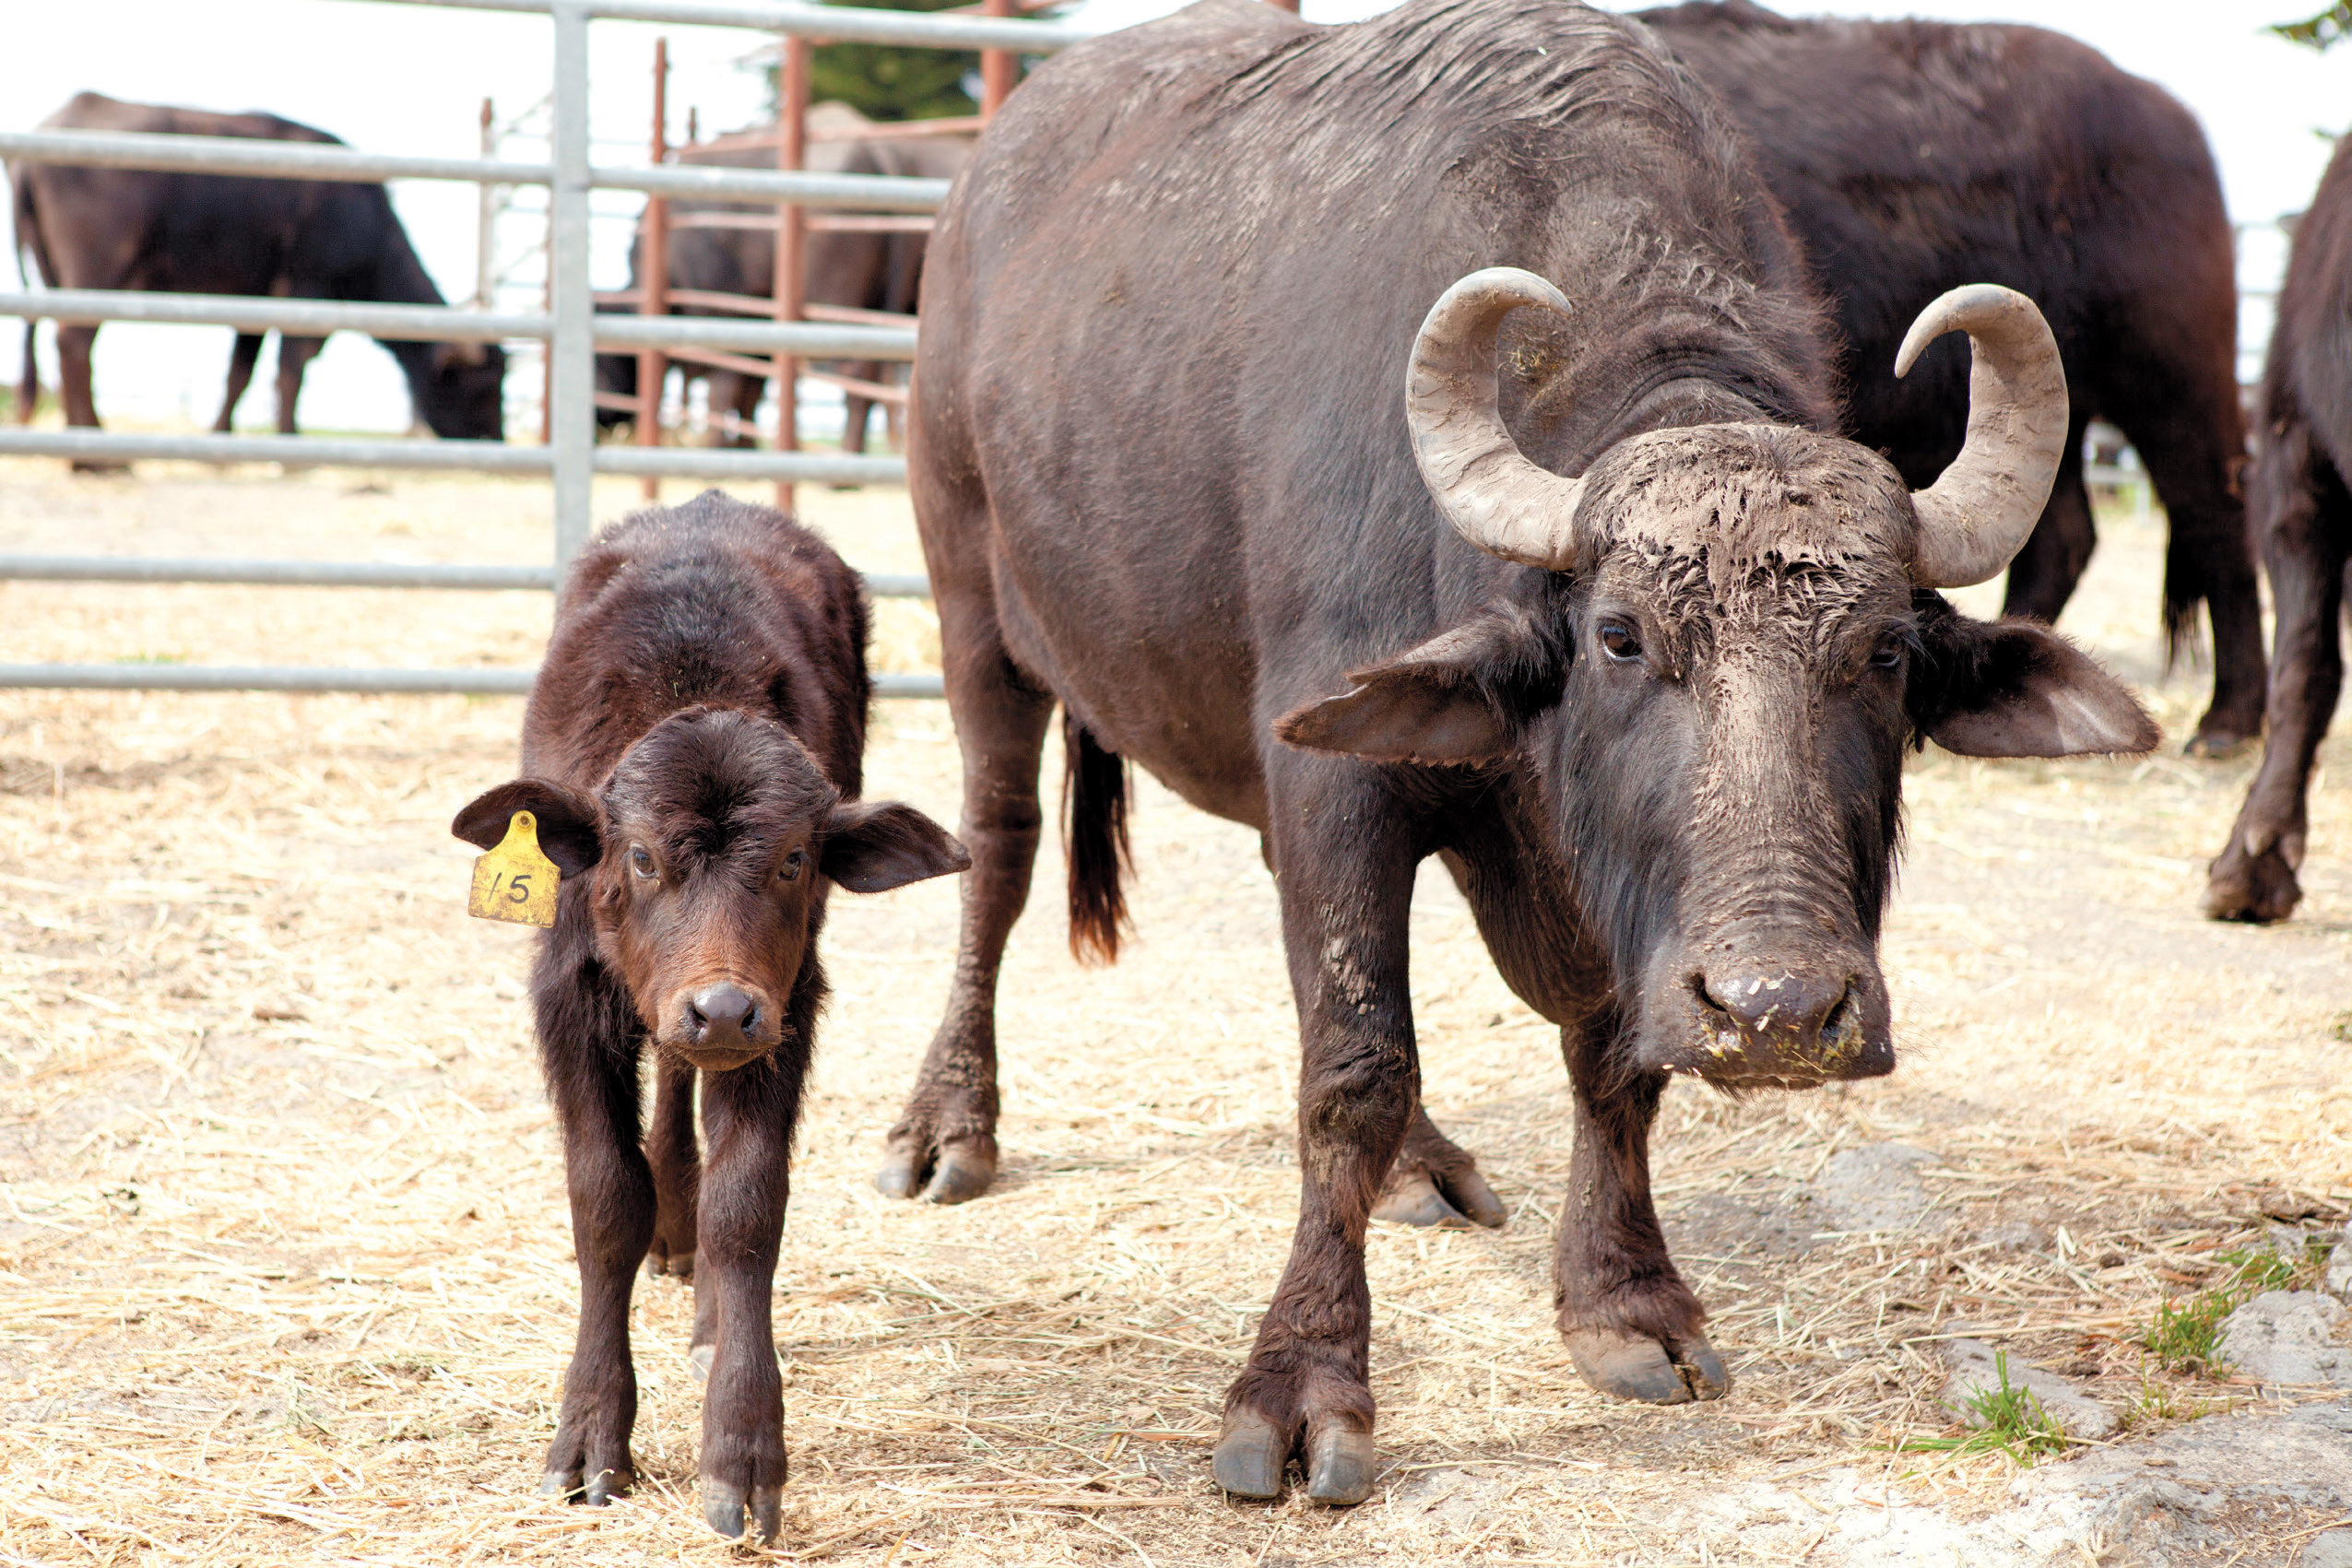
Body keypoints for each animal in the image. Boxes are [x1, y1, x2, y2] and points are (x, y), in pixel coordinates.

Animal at [10, 93, 505, 442]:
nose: (494, 440)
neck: (364, 219)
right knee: (74, 342)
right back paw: (96, 453)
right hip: (97, 267)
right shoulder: (306, 288)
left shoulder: (256, 298)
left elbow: (240, 374)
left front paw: (221, 439)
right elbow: (291, 369)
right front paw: (290, 446)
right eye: (482, 386)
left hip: (53, 270)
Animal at [449, 493, 963, 1541]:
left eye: (796, 859)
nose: (721, 1007)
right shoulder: (570, 996)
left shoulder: (787, 1009)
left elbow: (747, 1210)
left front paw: (741, 1449)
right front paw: (590, 1439)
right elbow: (605, 1200)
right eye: (641, 857)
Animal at [884, 0, 2154, 1504]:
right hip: (973, 614)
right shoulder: (1338, 780)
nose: (1782, 1014)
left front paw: (1625, 1301)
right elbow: (1351, 1069)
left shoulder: (1605, 900)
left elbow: (1610, 1056)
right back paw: (947, 1127)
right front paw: (1300, 1386)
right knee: (998, 851)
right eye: (1618, 638)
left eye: (1888, 650)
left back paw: (1421, 1168)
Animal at [1637, 0, 2257, 761]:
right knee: (2062, 536)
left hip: (2171, 378)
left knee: (2214, 513)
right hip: (2038, 402)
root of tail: (2163, 111)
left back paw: (2227, 720)